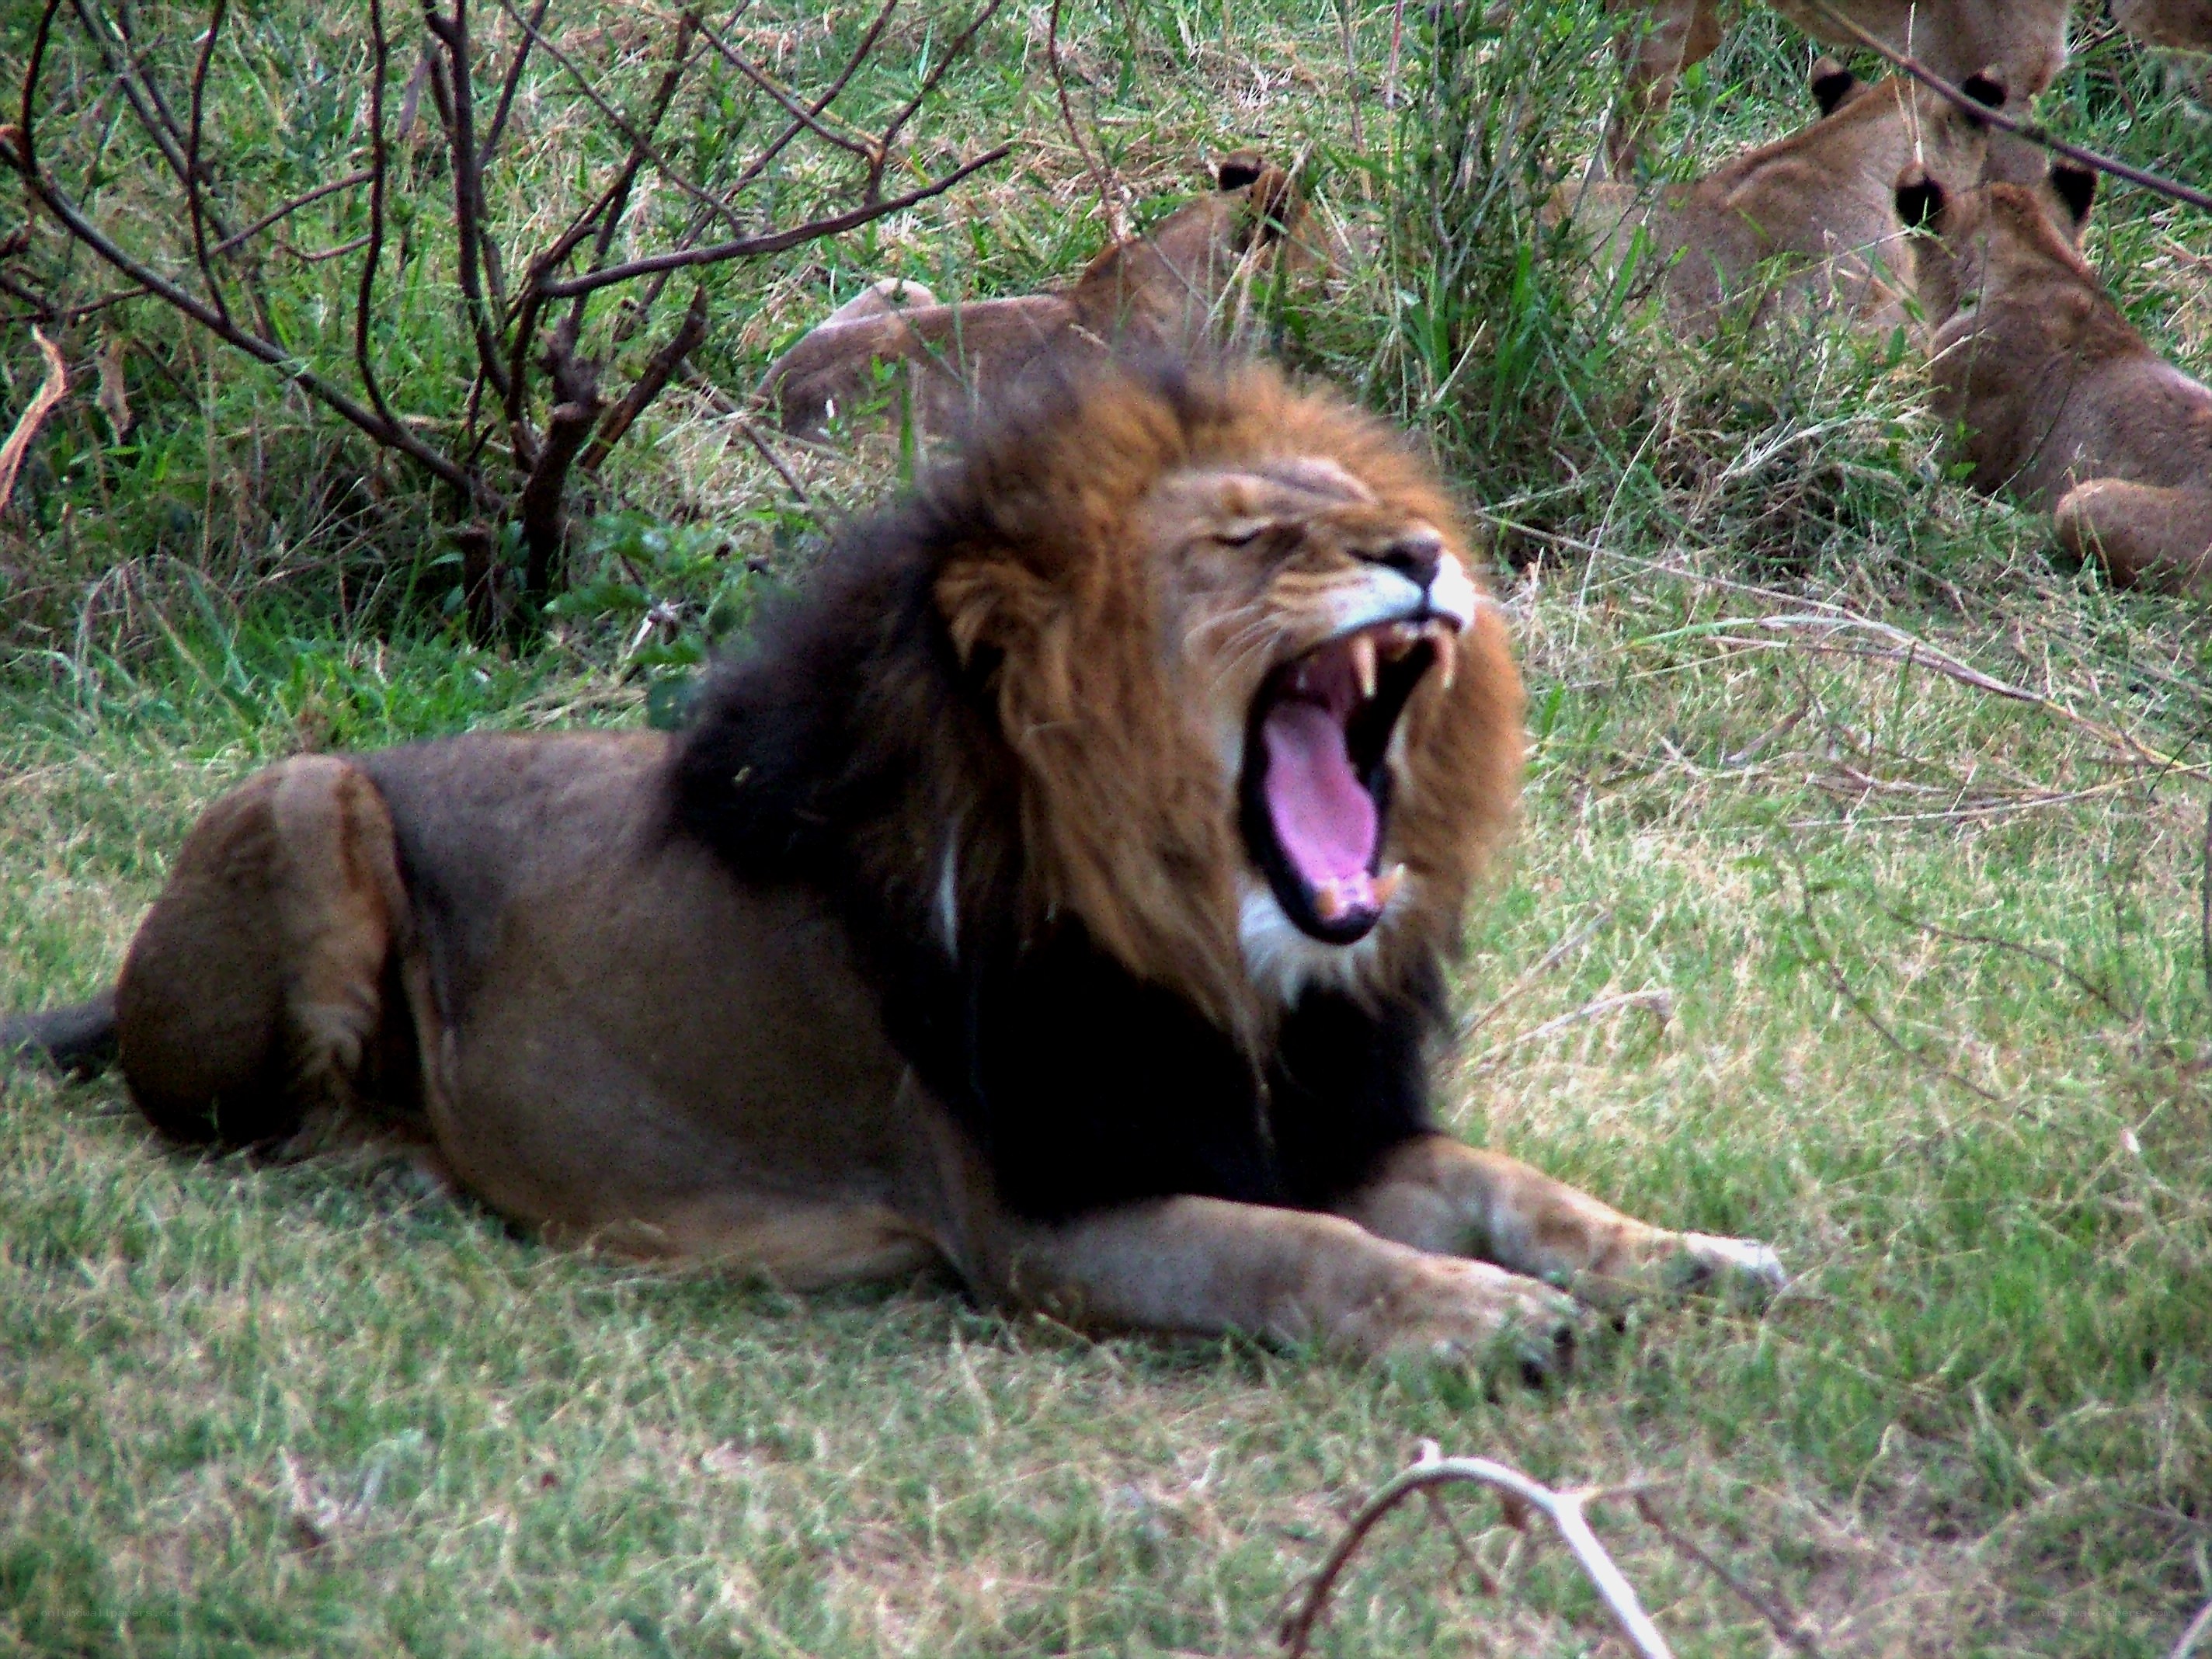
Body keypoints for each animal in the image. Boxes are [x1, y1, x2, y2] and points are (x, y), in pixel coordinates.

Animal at [1, 356, 1783, 1371]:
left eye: (1364, 510)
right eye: (1249, 541)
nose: (1421, 554)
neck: (1221, 958)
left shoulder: (1291, 1123)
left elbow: (1505, 1185)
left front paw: (1683, 1257)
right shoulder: (1043, 1218)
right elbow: (1299, 1254)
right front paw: (1484, 1322)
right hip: (305, 797)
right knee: (260, 1121)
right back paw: (405, 1159)